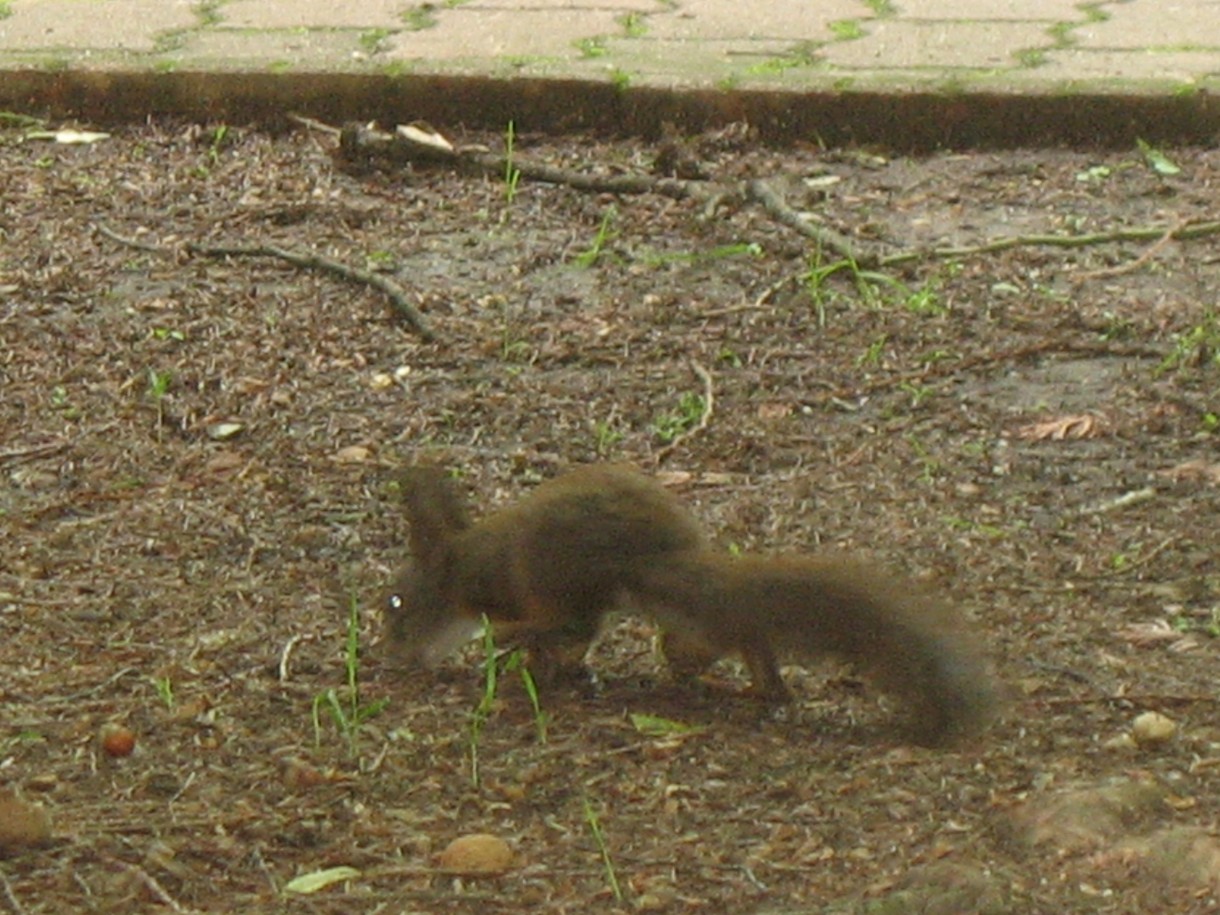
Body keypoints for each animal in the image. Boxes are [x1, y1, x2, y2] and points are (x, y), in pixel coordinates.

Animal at [385, 466, 995, 746]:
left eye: (395, 603)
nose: (391, 657)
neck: (461, 566)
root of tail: (655, 554)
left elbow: (556, 634)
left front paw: (517, 652)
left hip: (558, 575)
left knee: (576, 622)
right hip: (675, 623)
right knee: (728, 639)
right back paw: (753, 684)